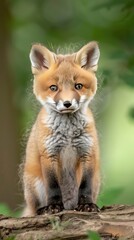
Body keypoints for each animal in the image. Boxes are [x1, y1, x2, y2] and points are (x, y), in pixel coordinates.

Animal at [21, 40, 100, 217]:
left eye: (78, 86)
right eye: (53, 88)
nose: (67, 103)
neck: (68, 134)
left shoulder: (87, 151)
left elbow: (85, 186)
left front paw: (87, 205)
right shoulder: (48, 153)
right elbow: (53, 186)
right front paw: (53, 207)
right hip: (34, 183)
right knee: (34, 209)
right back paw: (42, 209)